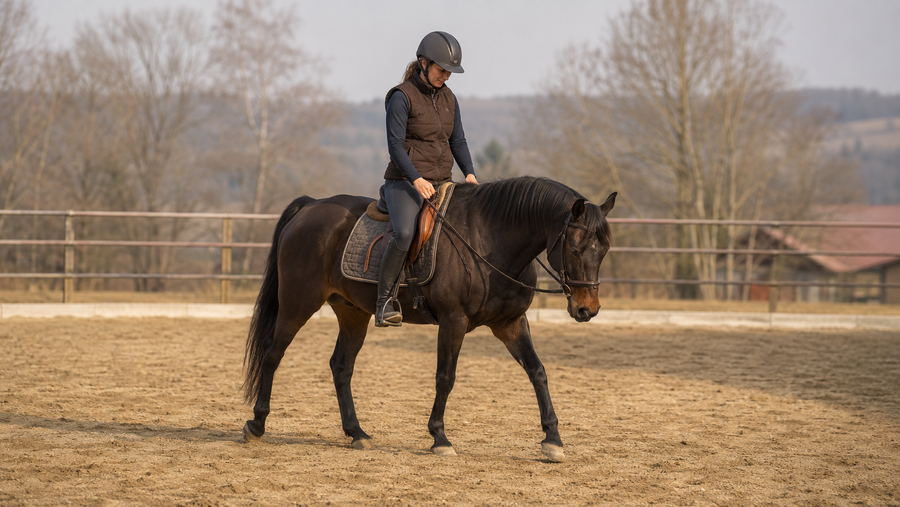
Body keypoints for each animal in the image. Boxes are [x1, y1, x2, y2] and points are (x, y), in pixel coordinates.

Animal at [242, 176, 616, 462]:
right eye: (575, 248)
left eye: (605, 250)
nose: (588, 309)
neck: (489, 241)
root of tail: (310, 206)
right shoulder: (454, 321)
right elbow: (445, 377)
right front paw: (440, 438)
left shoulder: (510, 323)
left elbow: (538, 371)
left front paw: (553, 440)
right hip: (297, 303)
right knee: (273, 354)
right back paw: (257, 424)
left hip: (352, 313)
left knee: (341, 366)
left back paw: (356, 432)